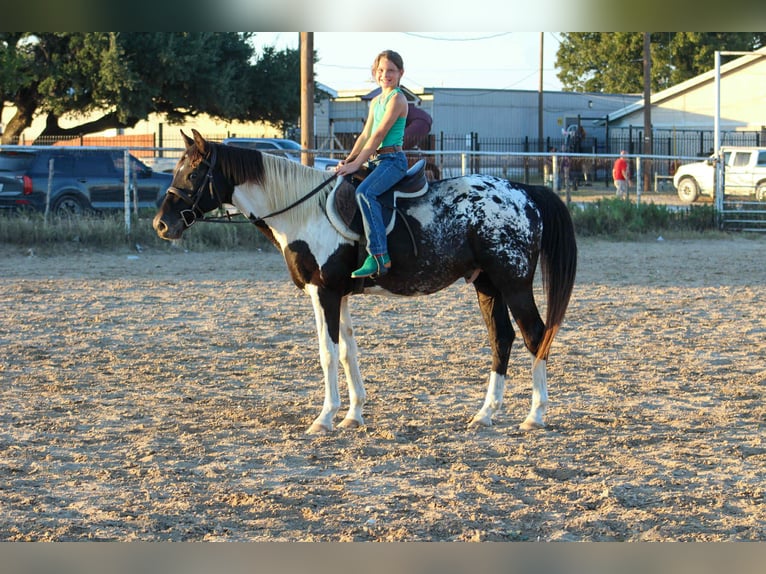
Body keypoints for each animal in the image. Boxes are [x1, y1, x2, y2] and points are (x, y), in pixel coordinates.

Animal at [153, 130, 577, 434]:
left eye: (193, 173)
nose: (161, 224)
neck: (302, 211)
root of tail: (525, 193)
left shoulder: (323, 292)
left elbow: (327, 353)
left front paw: (324, 418)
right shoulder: (338, 294)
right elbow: (347, 352)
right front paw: (353, 415)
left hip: (514, 284)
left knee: (536, 336)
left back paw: (535, 415)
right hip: (487, 284)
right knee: (501, 339)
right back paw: (485, 414)